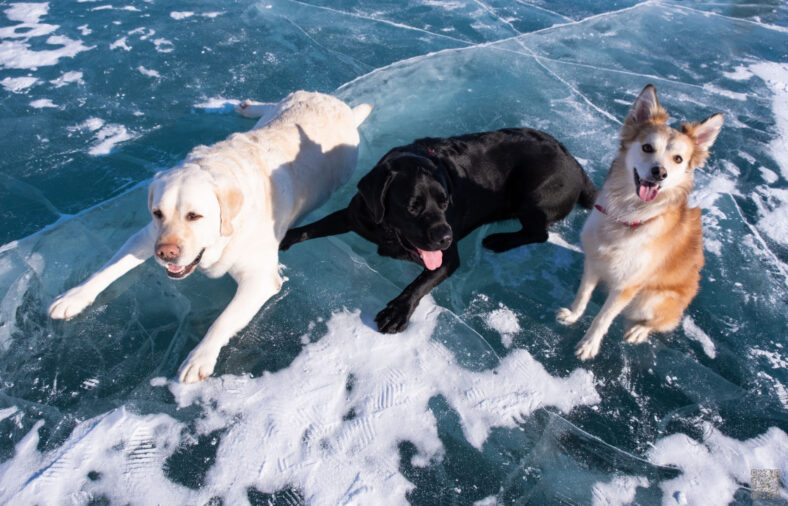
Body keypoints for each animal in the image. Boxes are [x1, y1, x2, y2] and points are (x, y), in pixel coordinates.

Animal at [48, 92, 372, 384]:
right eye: (157, 212)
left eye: (195, 216)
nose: (165, 252)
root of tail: (338, 104)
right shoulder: (147, 235)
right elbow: (110, 267)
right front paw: (74, 296)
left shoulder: (261, 278)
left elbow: (223, 319)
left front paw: (199, 358)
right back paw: (250, 107)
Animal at [556, 84, 724, 360]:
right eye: (647, 147)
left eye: (678, 159)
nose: (659, 173)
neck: (628, 213)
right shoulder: (594, 261)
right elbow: (583, 294)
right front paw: (573, 315)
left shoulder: (627, 286)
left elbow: (603, 318)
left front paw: (589, 344)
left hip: (651, 300)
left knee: (662, 323)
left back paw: (639, 331)